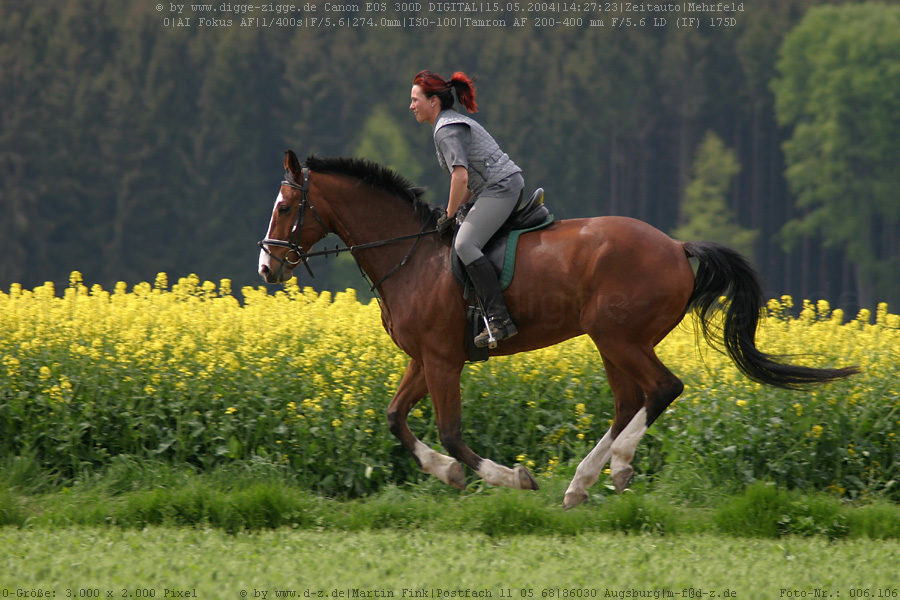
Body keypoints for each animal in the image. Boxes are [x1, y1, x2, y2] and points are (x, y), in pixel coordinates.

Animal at [256, 150, 860, 506]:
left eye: (285, 205)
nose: (266, 267)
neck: (410, 256)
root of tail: (677, 247)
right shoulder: (423, 359)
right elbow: (395, 418)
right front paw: (447, 474)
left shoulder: (444, 360)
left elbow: (450, 431)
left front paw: (508, 478)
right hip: (612, 342)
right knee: (629, 402)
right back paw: (581, 483)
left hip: (618, 336)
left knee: (663, 389)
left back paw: (616, 467)